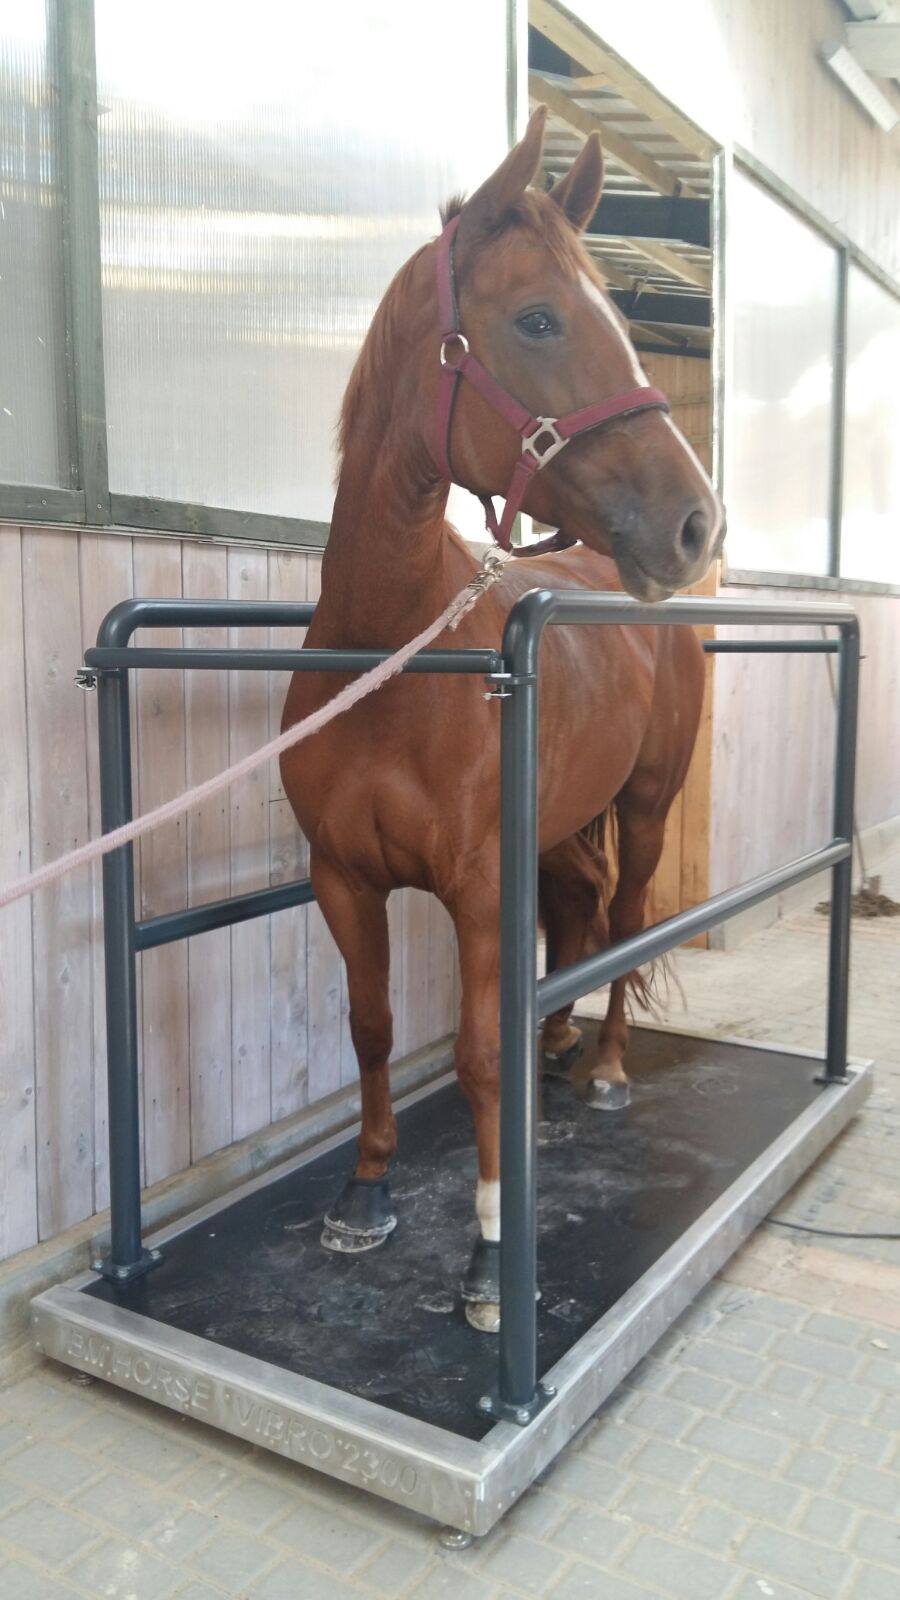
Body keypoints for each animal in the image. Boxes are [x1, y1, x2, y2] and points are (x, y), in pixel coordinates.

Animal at [280, 107, 724, 1332]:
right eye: (537, 320)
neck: (392, 658)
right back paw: (560, 1039)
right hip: (561, 824)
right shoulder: (344, 877)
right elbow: (373, 1029)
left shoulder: (478, 887)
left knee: (625, 915)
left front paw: (488, 1253)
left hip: (646, 805)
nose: (695, 524)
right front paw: (365, 1191)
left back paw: (604, 1065)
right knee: (578, 913)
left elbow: (477, 1054)